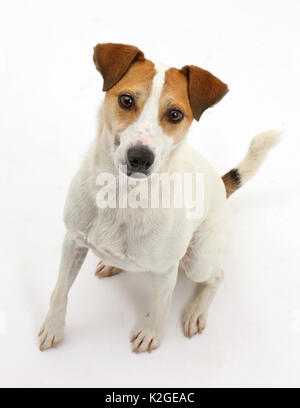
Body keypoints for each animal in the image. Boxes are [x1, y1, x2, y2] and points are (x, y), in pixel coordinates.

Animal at [38, 43, 282, 352]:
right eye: (126, 100)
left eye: (175, 114)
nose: (140, 158)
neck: (123, 195)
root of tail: (218, 183)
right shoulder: (72, 241)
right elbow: (60, 291)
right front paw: (53, 327)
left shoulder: (167, 270)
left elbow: (159, 304)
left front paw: (150, 332)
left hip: (198, 260)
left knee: (216, 276)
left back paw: (196, 311)